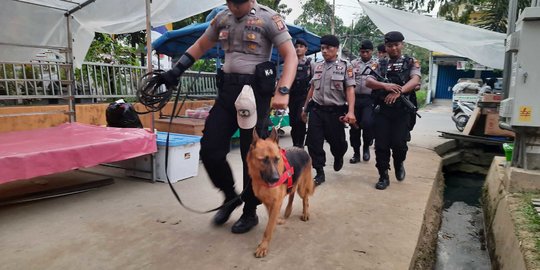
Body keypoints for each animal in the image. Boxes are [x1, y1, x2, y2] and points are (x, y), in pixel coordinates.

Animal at [247, 129, 314, 258]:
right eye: (264, 160)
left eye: (277, 159)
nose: (276, 179)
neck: (262, 181)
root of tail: (301, 149)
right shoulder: (268, 201)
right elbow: (271, 216)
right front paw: (277, 220)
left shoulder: (276, 202)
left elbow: (268, 228)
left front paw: (263, 246)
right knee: (292, 194)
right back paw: (288, 210)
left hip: (301, 188)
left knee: (305, 198)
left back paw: (305, 213)